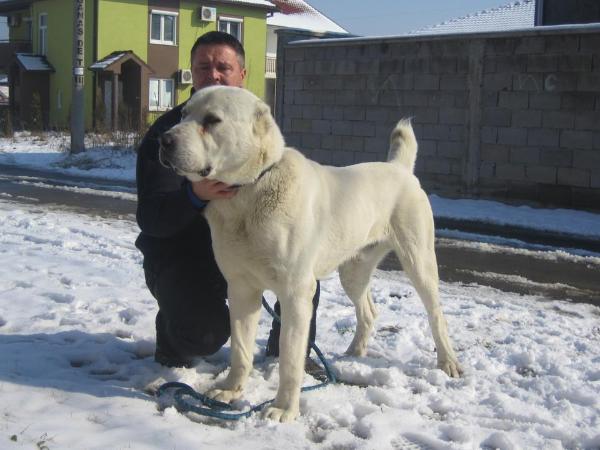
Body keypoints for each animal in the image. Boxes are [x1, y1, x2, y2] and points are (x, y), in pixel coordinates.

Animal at [157, 84, 462, 422]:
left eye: (212, 120)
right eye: (184, 114)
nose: (164, 140)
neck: (249, 191)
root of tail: (399, 168)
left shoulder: (296, 293)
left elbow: (290, 359)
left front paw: (283, 409)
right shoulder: (241, 289)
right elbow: (240, 349)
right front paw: (230, 390)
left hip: (418, 261)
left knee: (436, 315)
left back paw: (448, 362)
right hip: (352, 271)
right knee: (368, 311)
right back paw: (354, 352)